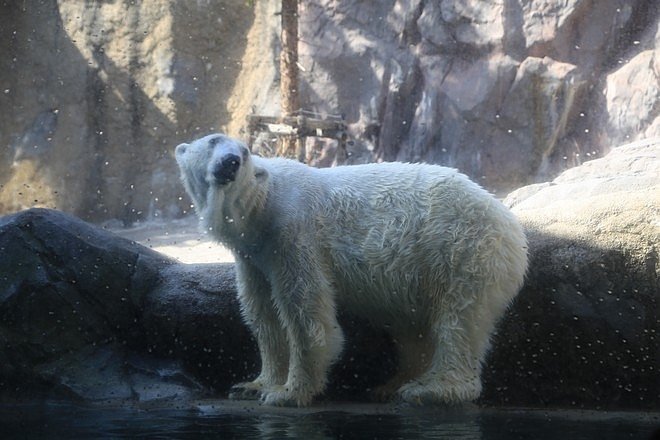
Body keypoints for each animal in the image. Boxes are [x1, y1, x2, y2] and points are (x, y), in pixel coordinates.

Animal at [174, 133, 524, 406]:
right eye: (213, 141)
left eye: (245, 152)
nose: (231, 161)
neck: (261, 206)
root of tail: (510, 224)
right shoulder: (254, 257)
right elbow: (264, 317)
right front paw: (253, 385)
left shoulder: (292, 233)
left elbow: (306, 313)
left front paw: (289, 392)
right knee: (413, 327)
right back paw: (391, 384)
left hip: (461, 247)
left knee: (459, 320)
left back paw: (431, 388)